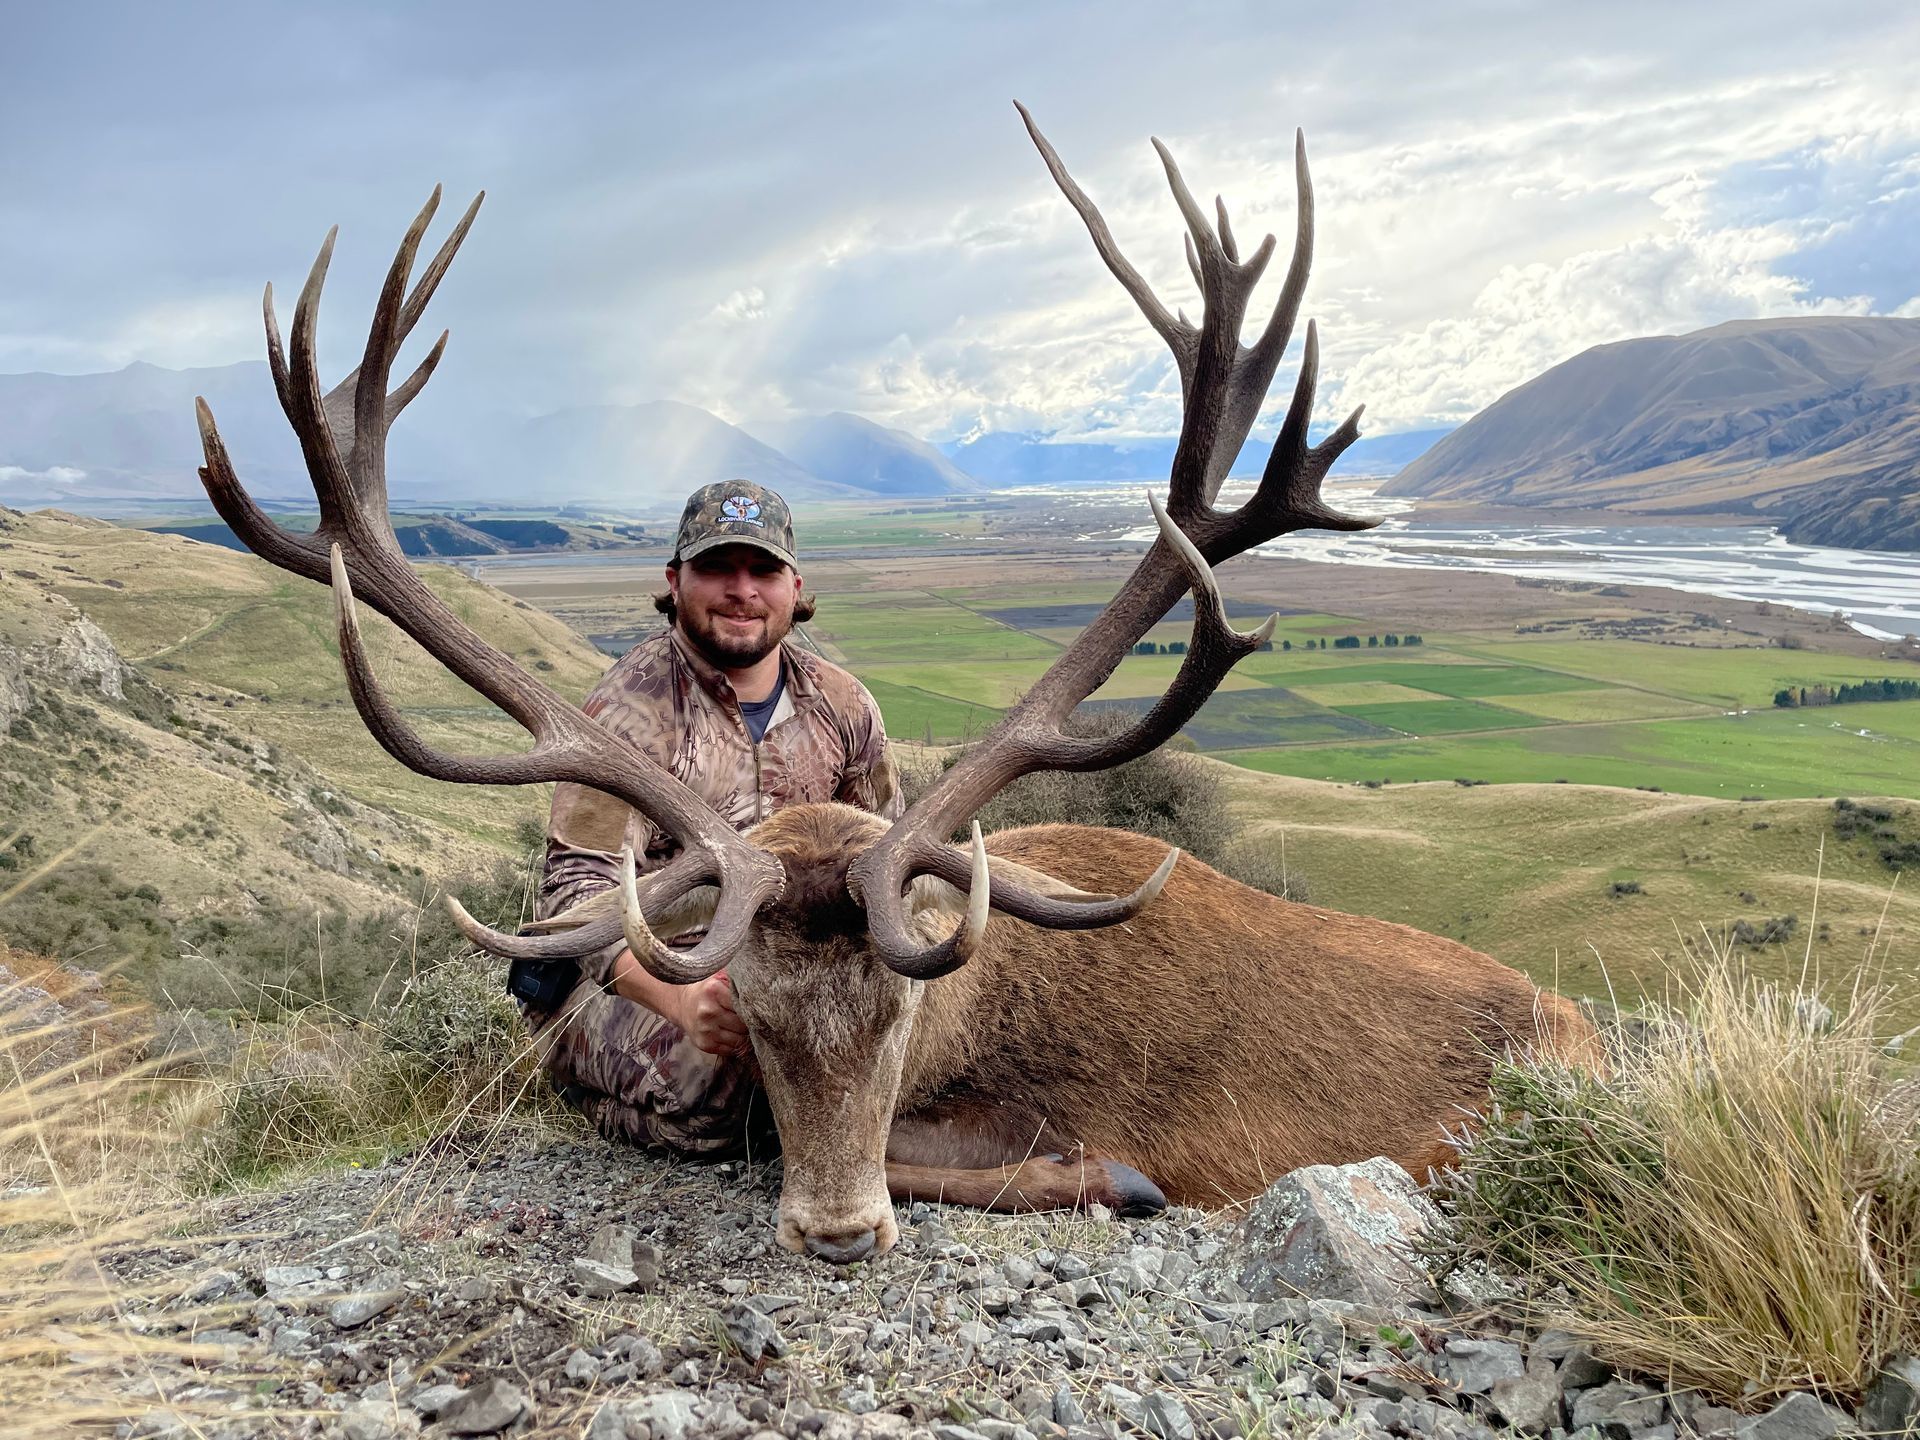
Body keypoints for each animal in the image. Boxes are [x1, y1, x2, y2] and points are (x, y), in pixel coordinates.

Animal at [194, 105, 1599, 1266]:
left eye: (899, 1012)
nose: (835, 1230)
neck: (983, 1013)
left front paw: (1114, 1181)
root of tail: (1583, 1025)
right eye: (750, 1020)